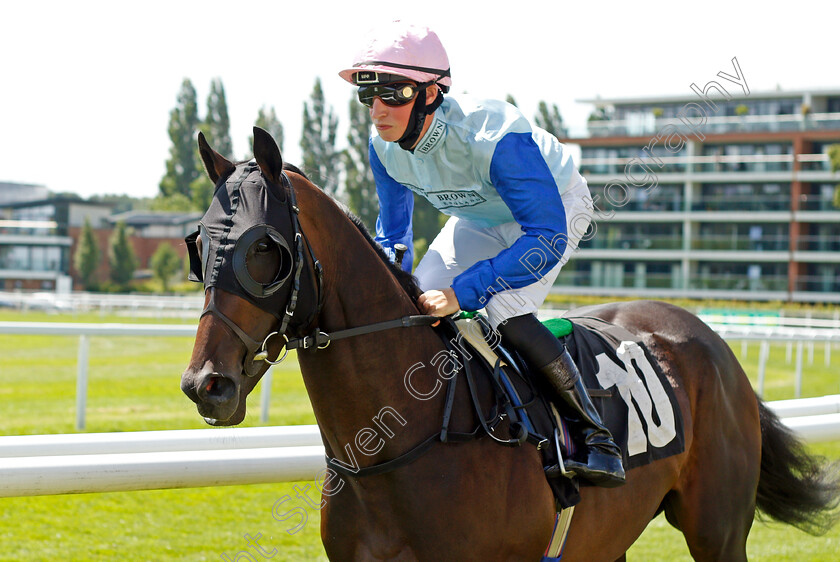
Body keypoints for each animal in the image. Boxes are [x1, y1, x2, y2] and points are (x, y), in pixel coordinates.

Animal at [180, 128, 836, 560]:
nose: (205, 385)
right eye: (200, 246)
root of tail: (712, 341)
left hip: (717, 529)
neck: (408, 438)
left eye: (265, 251)